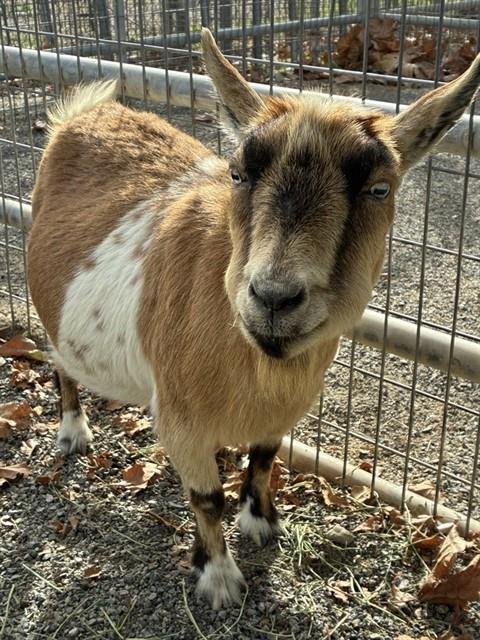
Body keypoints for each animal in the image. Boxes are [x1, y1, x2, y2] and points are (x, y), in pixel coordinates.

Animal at [27, 29, 480, 608]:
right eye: (238, 173)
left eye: (380, 189)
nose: (273, 297)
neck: (255, 365)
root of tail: (86, 113)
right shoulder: (181, 420)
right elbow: (206, 498)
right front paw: (220, 579)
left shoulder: (285, 410)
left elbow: (264, 458)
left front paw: (263, 523)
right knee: (58, 359)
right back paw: (72, 432)